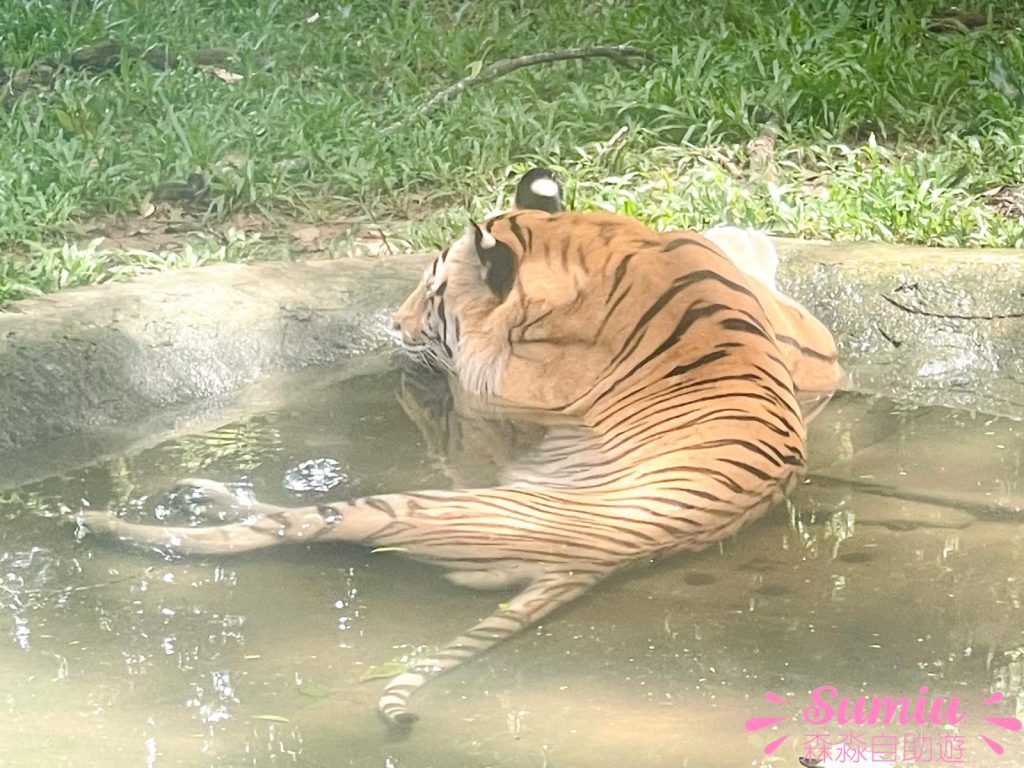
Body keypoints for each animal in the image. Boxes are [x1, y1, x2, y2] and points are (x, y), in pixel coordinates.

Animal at [82, 168, 843, 727]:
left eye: (431, 289)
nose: (392, 324)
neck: (594, 249)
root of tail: (614, 554)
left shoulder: (488, 401)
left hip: (423, 508)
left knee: (276, 528)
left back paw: (108, 521)